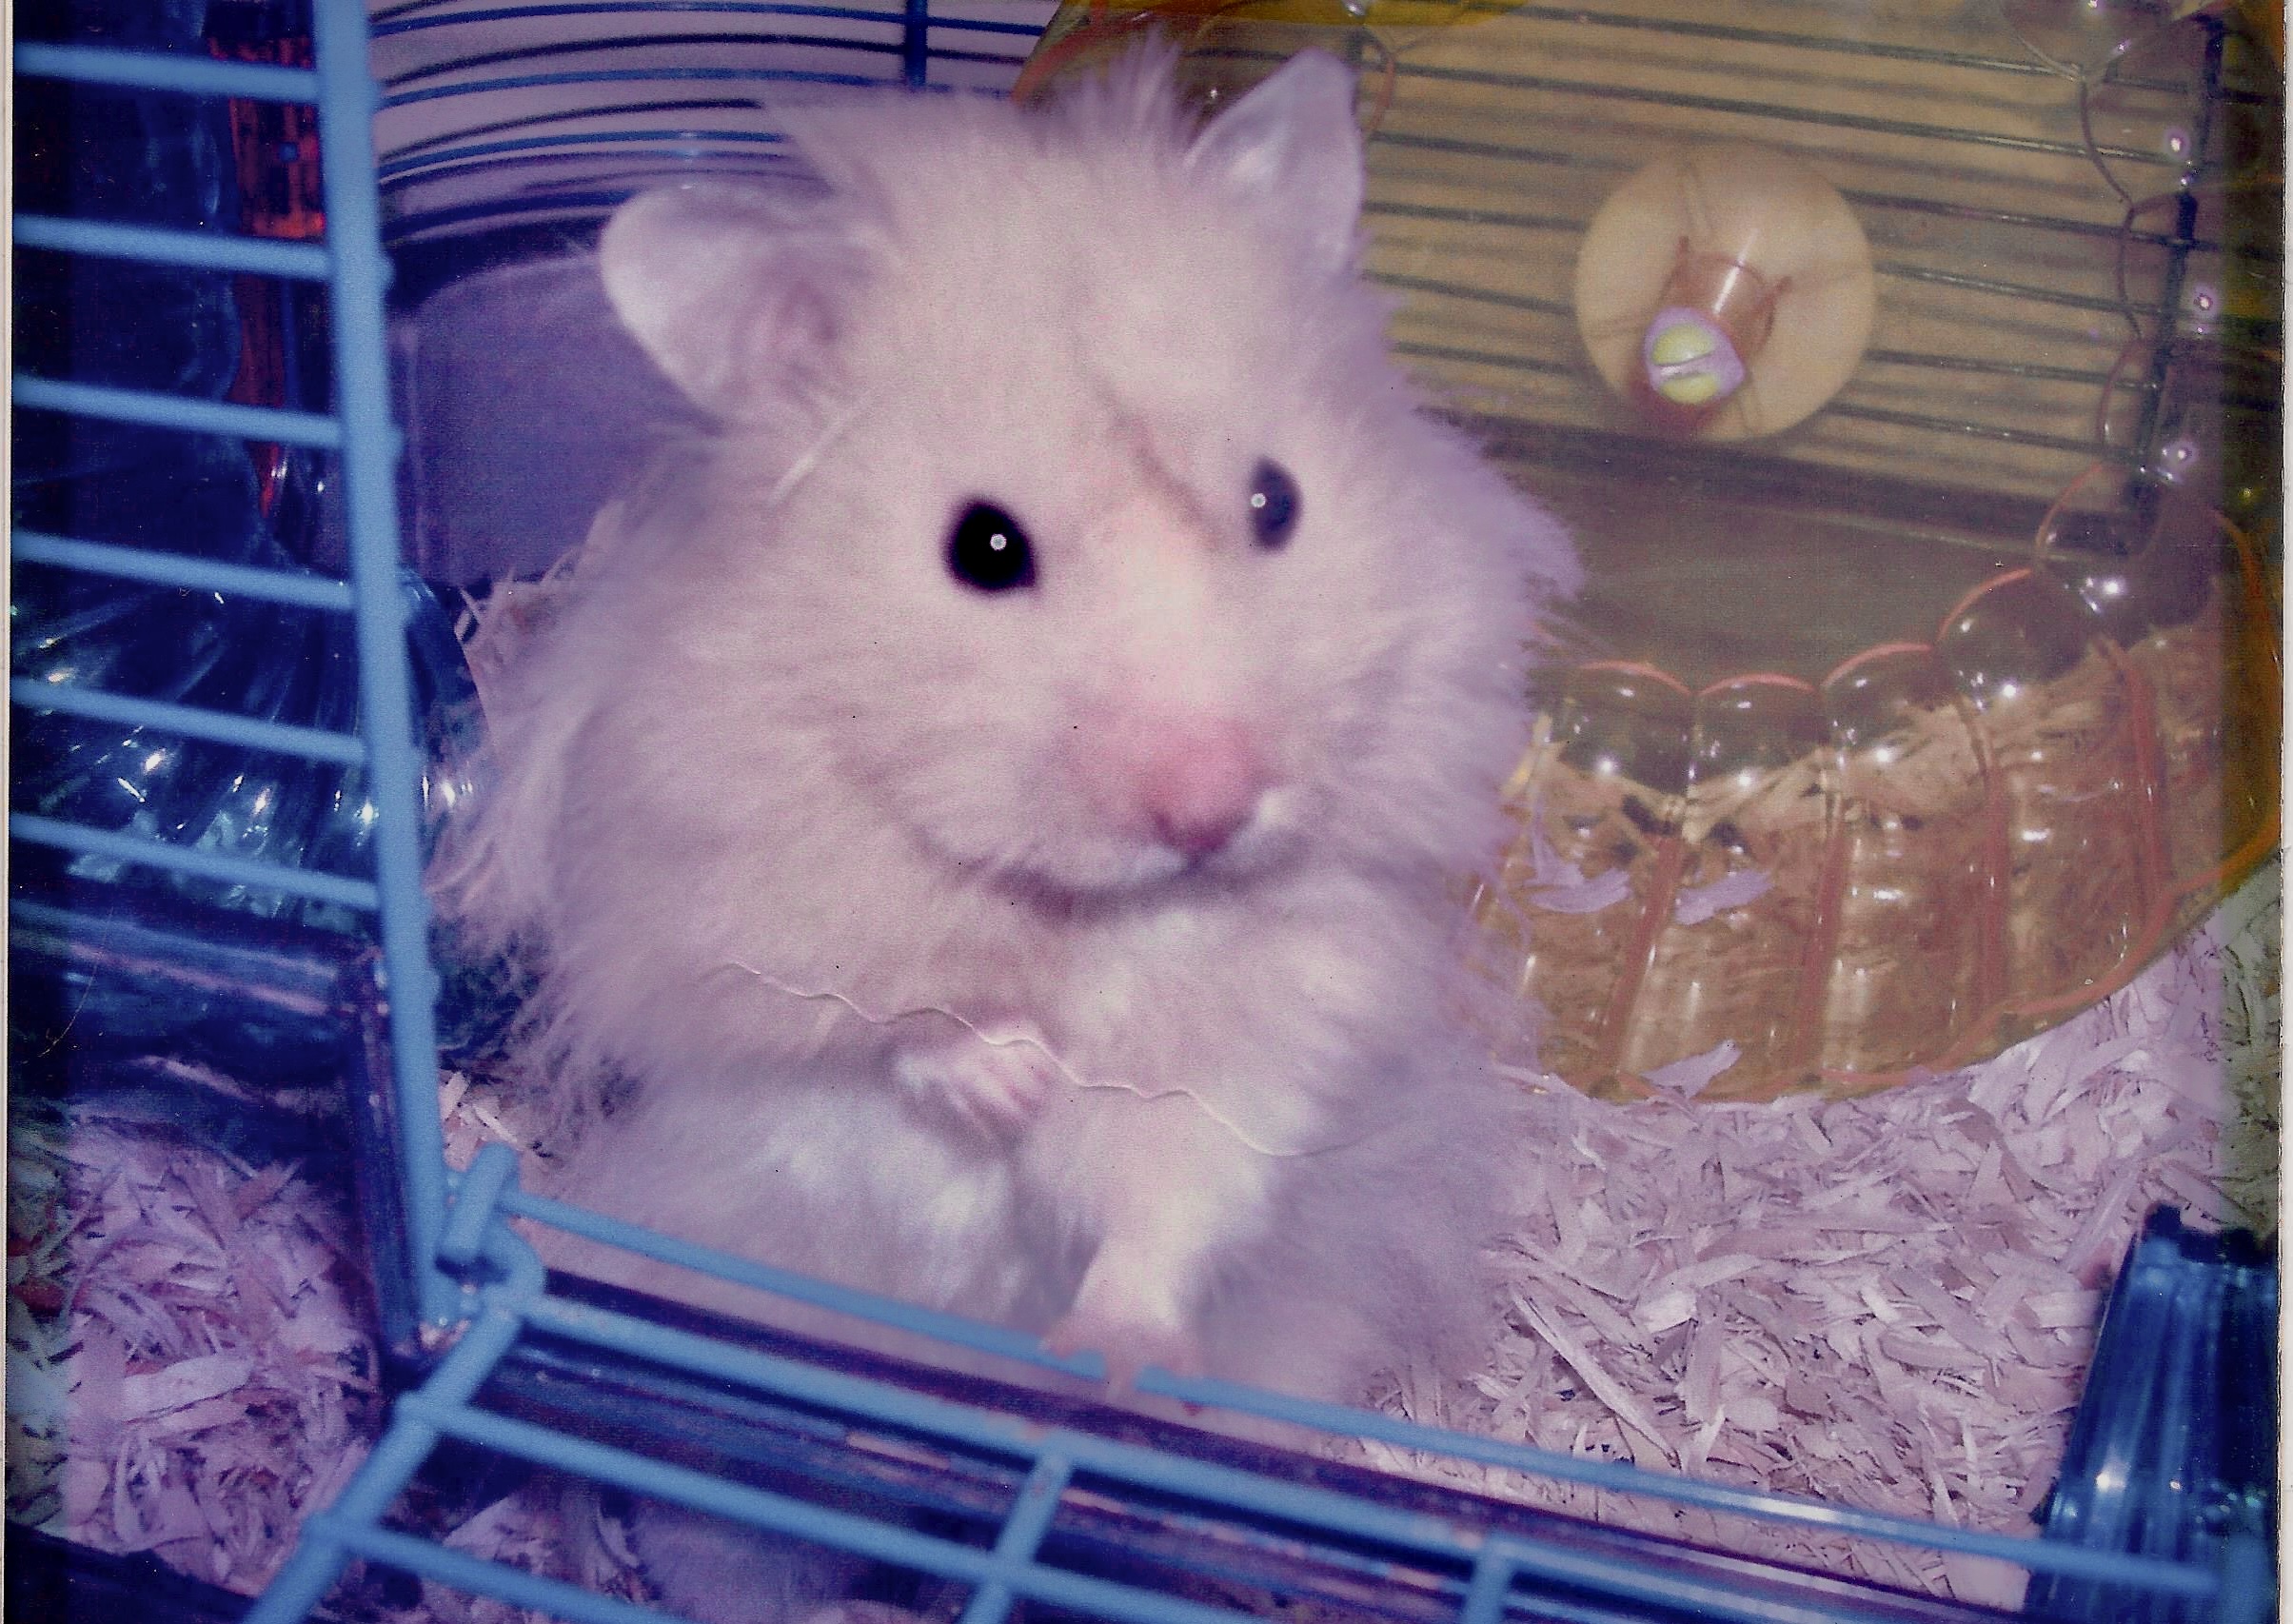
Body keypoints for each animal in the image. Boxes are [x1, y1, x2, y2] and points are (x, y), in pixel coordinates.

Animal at [433, 44, 1576, 1617]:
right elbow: (879, 1022)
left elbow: (1172, 1192)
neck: (1077, 904)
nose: (1211, 807)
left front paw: (1113, 1365)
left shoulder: (1263, 1037)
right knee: (712, 1542)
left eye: (1275, 499)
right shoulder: (721, 933)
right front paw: (1012, 1077)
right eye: (983, 548)